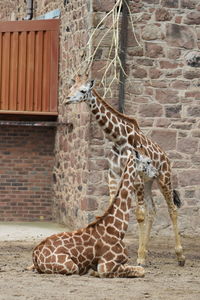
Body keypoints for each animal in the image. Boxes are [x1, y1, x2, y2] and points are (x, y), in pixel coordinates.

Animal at [64, 74, 186, 266]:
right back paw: (146, 250)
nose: (67, 99)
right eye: (71, 88)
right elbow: (112, 208)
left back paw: (179, 256)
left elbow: (139, 215)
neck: (119, 139)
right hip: (149, 182)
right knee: (153, 211)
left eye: (83, 90)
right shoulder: (113, 175)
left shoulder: (136, 177)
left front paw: (140, 258)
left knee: (171, 209)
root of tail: (166, 157)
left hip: (164, 178)